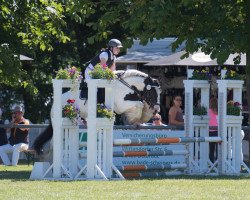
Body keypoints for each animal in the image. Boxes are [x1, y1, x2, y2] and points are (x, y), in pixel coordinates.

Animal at [33, 69, 161, 155]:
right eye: (152, 92)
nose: (156, 108)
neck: (127, 86)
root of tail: (54, 103)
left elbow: (141, 105)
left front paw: (139, 119)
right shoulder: (120, 105)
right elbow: (139, 104)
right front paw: (134, 119)